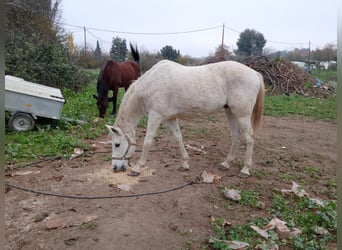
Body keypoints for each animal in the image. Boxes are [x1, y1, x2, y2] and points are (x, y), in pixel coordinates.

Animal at [106, 60, 264, 178]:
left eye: (117, 144)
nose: (115, 167)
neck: (150, 84)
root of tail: (254, 73)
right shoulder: (169, 118)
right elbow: (178, 138)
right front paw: (185, 164)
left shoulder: (155, 116)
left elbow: (147, 142)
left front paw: (137, 168)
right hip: (230, 111)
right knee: (236, 136)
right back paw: (226, 164)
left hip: (242, 115)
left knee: (249, 138)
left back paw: (245, 169)